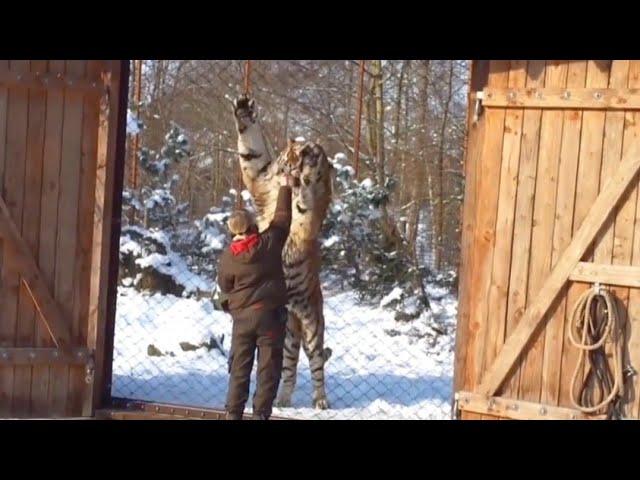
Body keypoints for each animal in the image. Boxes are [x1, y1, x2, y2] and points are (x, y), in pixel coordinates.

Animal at [234, 95, 336, 410]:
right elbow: (251, 151)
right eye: (289, 152)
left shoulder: (309, 207)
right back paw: (281, 399)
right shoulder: (259, 175)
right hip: (289, 334)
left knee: (317, 366)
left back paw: (321, 401)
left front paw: (303, 178)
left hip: (312, 325)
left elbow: (307, 195)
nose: (298, 156)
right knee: (289, 367)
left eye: (311, 153)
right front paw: (243, 108)